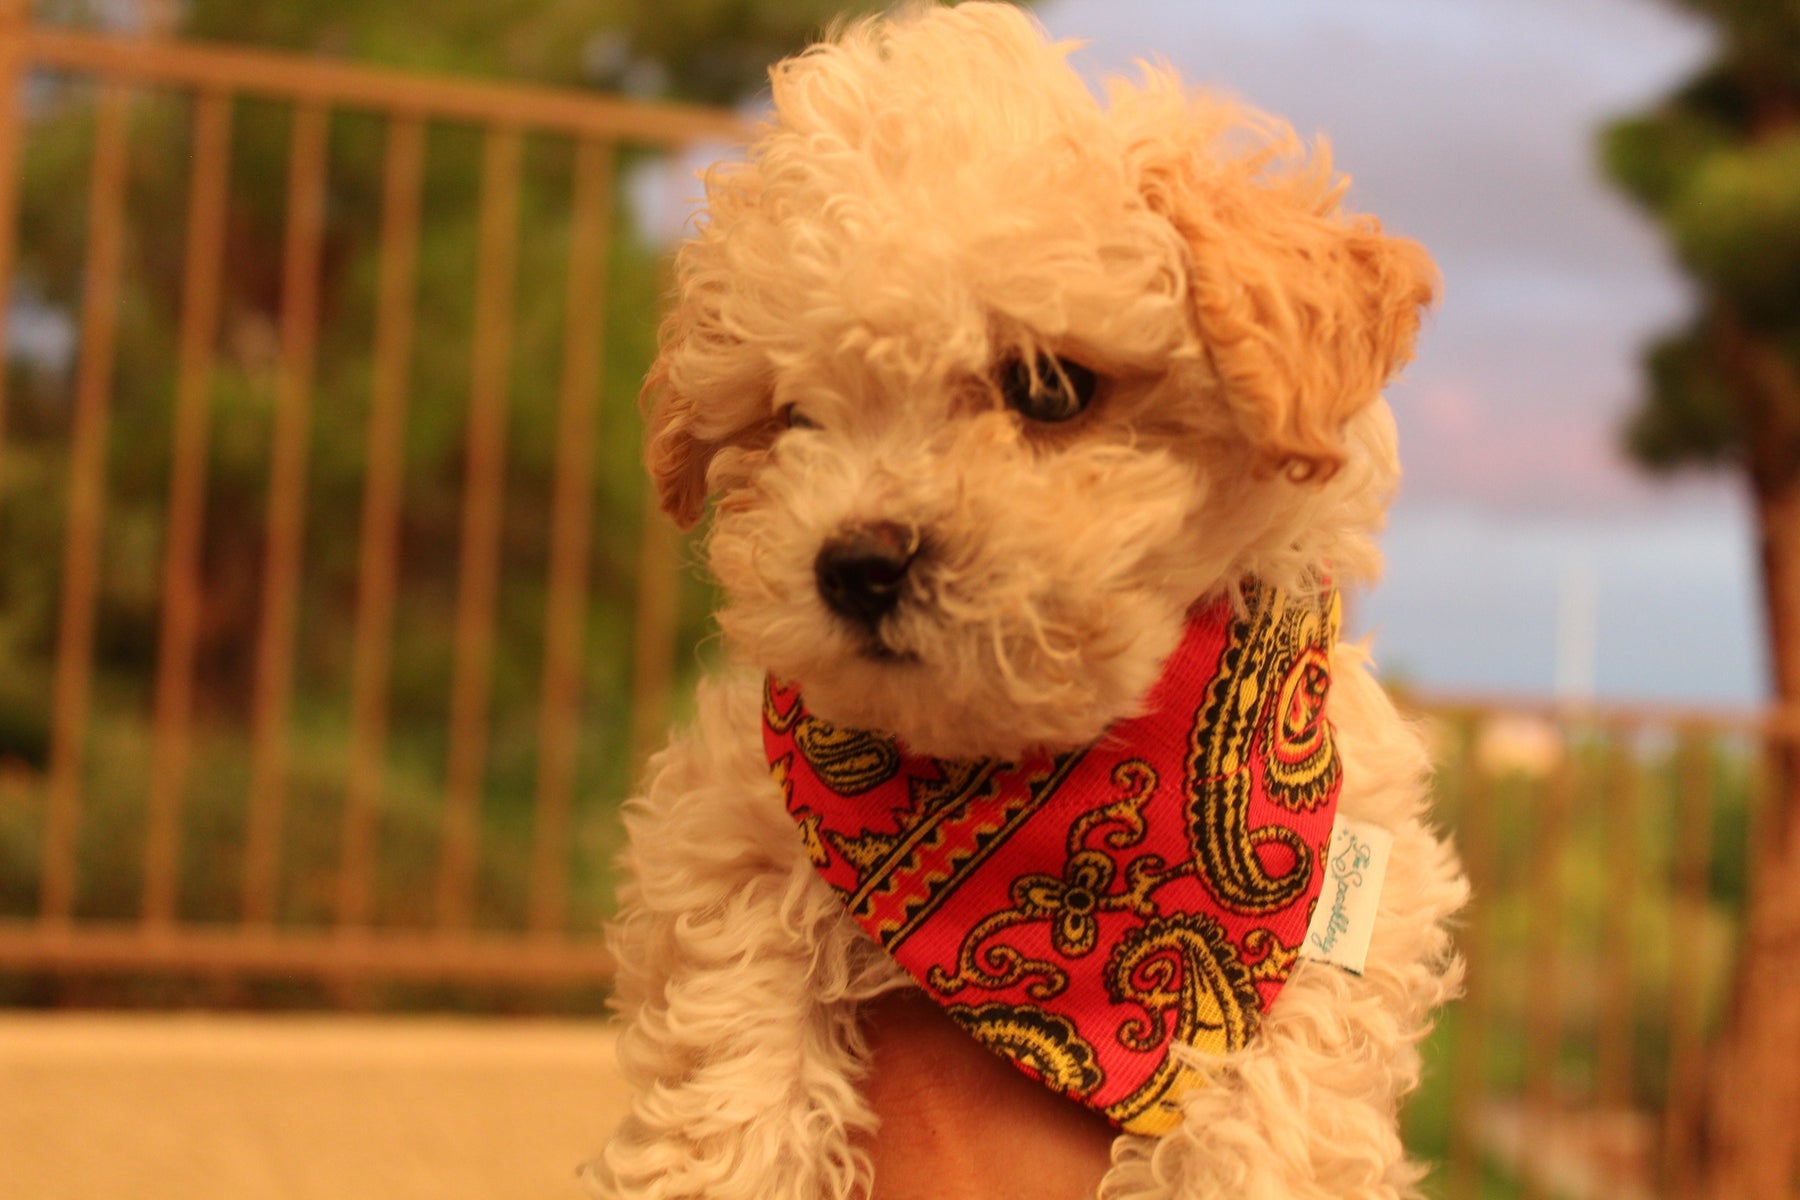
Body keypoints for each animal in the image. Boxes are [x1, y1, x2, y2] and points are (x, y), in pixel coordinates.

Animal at [586, 4, 1461, 1194]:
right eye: (793, 416)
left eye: (1050, 388)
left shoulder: (1333, 939)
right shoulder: (726, 839)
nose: (856, 562)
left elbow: (1273, 1122)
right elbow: (733, 1048)